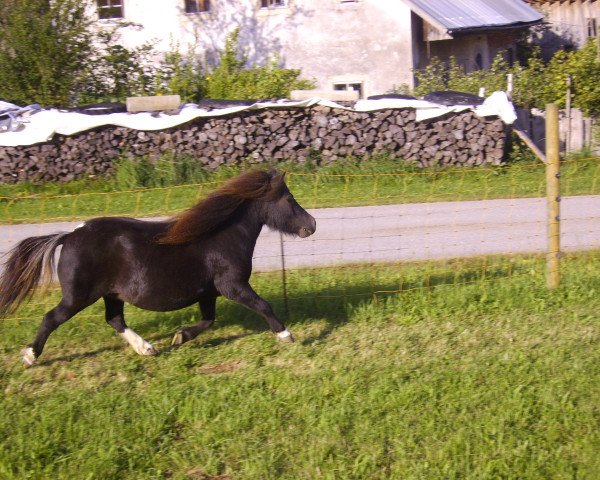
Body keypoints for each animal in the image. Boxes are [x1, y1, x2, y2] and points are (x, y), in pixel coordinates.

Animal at [0, 170, 316, 368]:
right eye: (289, 199)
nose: (311, 225)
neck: (222, 236)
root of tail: (68, 236)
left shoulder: (209, 293)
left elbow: (208, 321)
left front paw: (180, 336)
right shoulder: (233, 286)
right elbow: (263, 306)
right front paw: (287, 336)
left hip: (111, 294)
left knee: (114, 319)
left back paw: (148, 348)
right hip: (78, 296)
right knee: (51, 318)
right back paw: (29, 356)